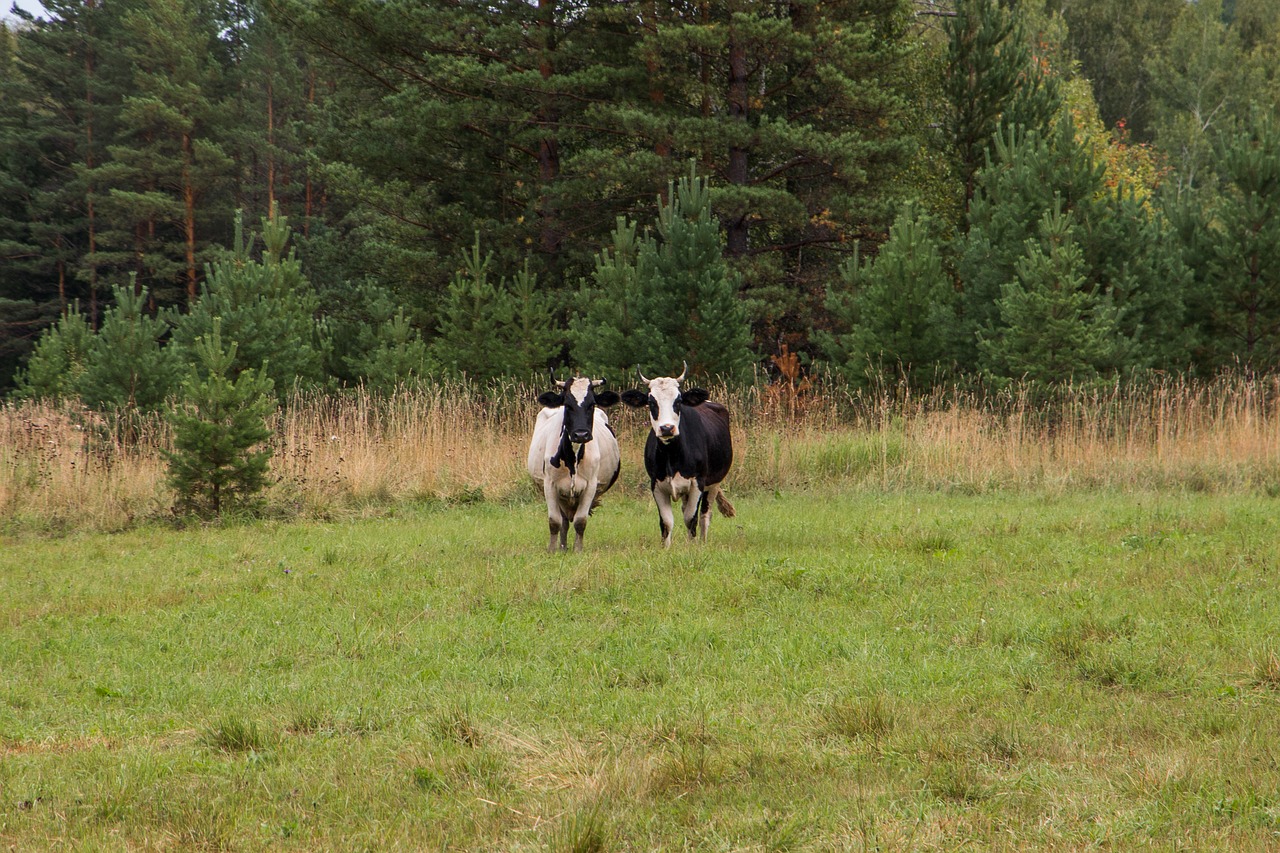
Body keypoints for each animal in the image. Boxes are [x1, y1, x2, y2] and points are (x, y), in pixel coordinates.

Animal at [527, 373, 622, 550]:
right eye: (567, 405)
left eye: (592, 404)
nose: (581, 434)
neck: (573, 460)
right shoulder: (549, 485)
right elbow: (554, 522)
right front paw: (552, 550)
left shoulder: (591, 486)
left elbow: (580, 521)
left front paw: (578, 550)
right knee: (564, 521)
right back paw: (563, 547)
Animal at [622, 358, 737, 545]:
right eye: (651, 402)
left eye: (678, 401)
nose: (667, 428)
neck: (672, 456)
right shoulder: (656, 485)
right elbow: (666, 522)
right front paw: (666, 548)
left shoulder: (698, 483)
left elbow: (691, 519)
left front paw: (691, 547)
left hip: (714, 483)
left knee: (705, 515)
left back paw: (703, 542)